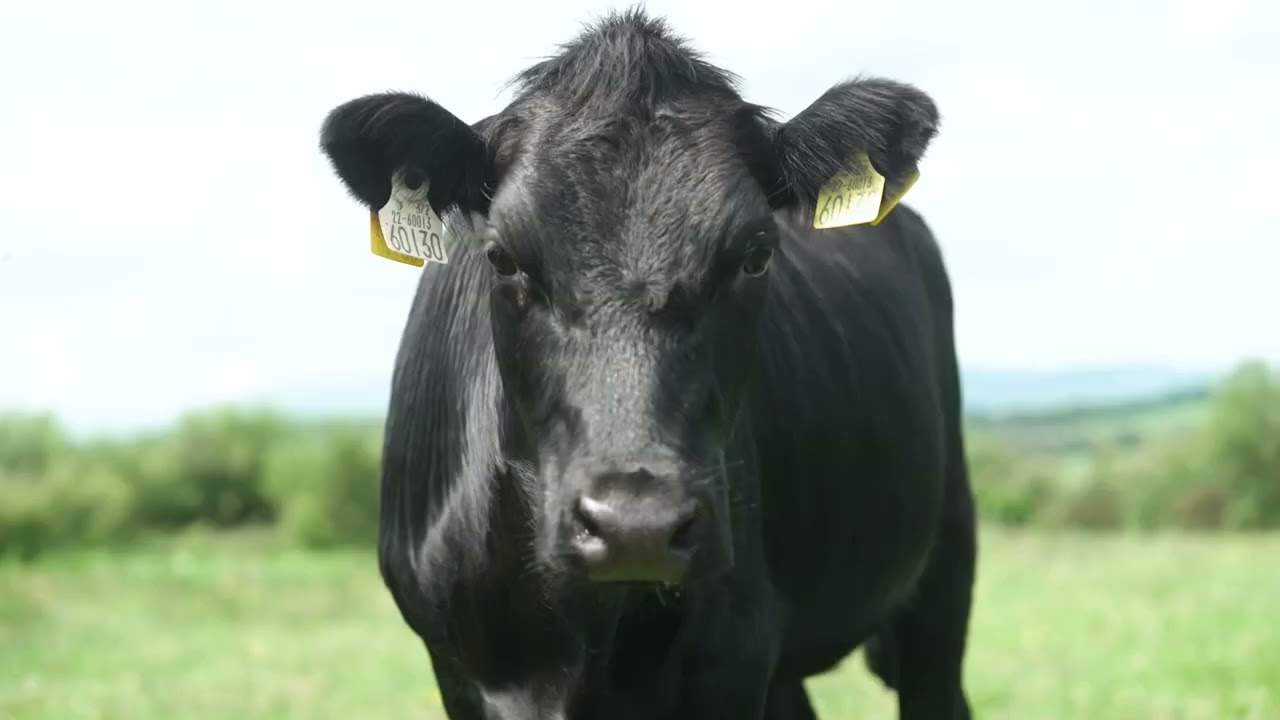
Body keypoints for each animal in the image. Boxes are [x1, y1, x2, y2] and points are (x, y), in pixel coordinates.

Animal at [318, 8, 976, 719]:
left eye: (756, 254)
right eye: (502, 257)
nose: (638, 526)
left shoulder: (733, 657)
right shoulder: (460, 670)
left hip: (944, 568)